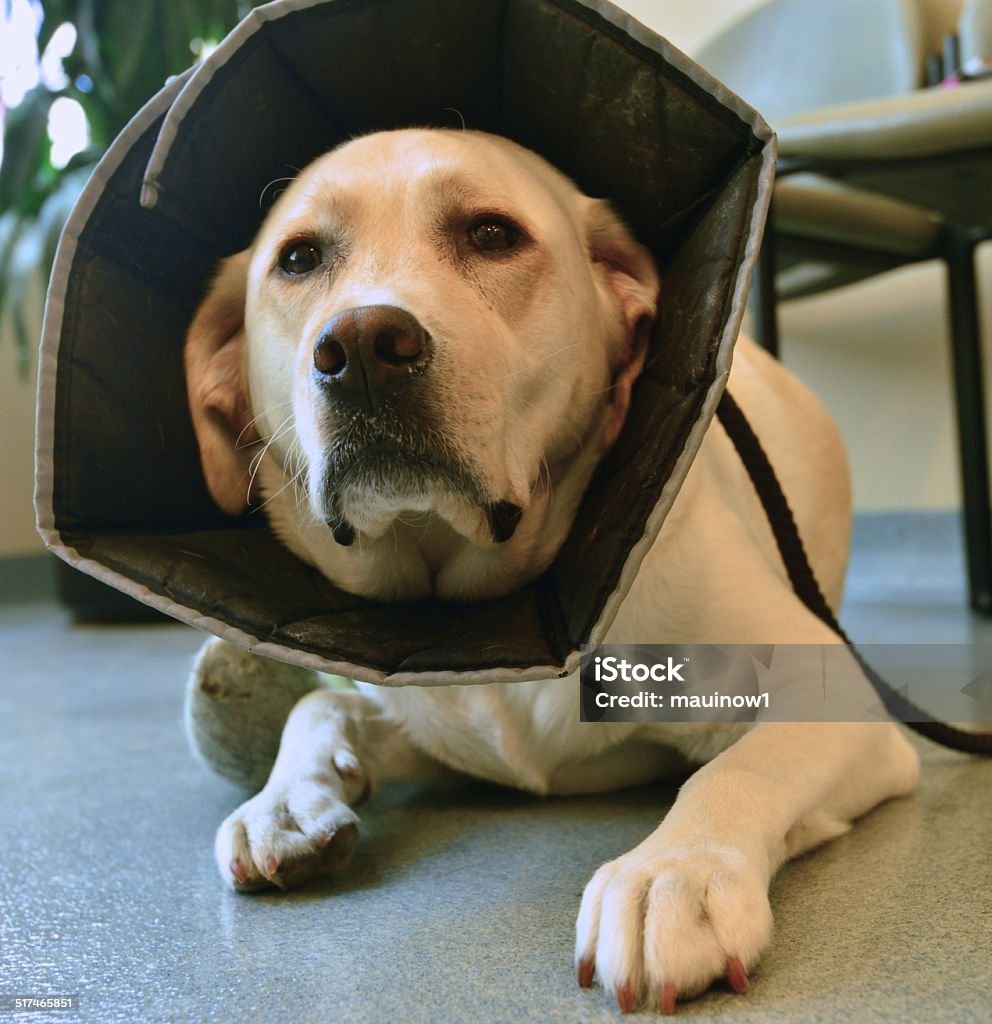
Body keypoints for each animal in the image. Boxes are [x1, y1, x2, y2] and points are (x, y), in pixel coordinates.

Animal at [182, 130, 917, 1015]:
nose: (360, 349)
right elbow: (318, 709)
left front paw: (675, 874)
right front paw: (287, 800)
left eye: (492, 235)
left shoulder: (837, 695)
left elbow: (738, 768)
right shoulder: (437, 729)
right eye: (298, 258)